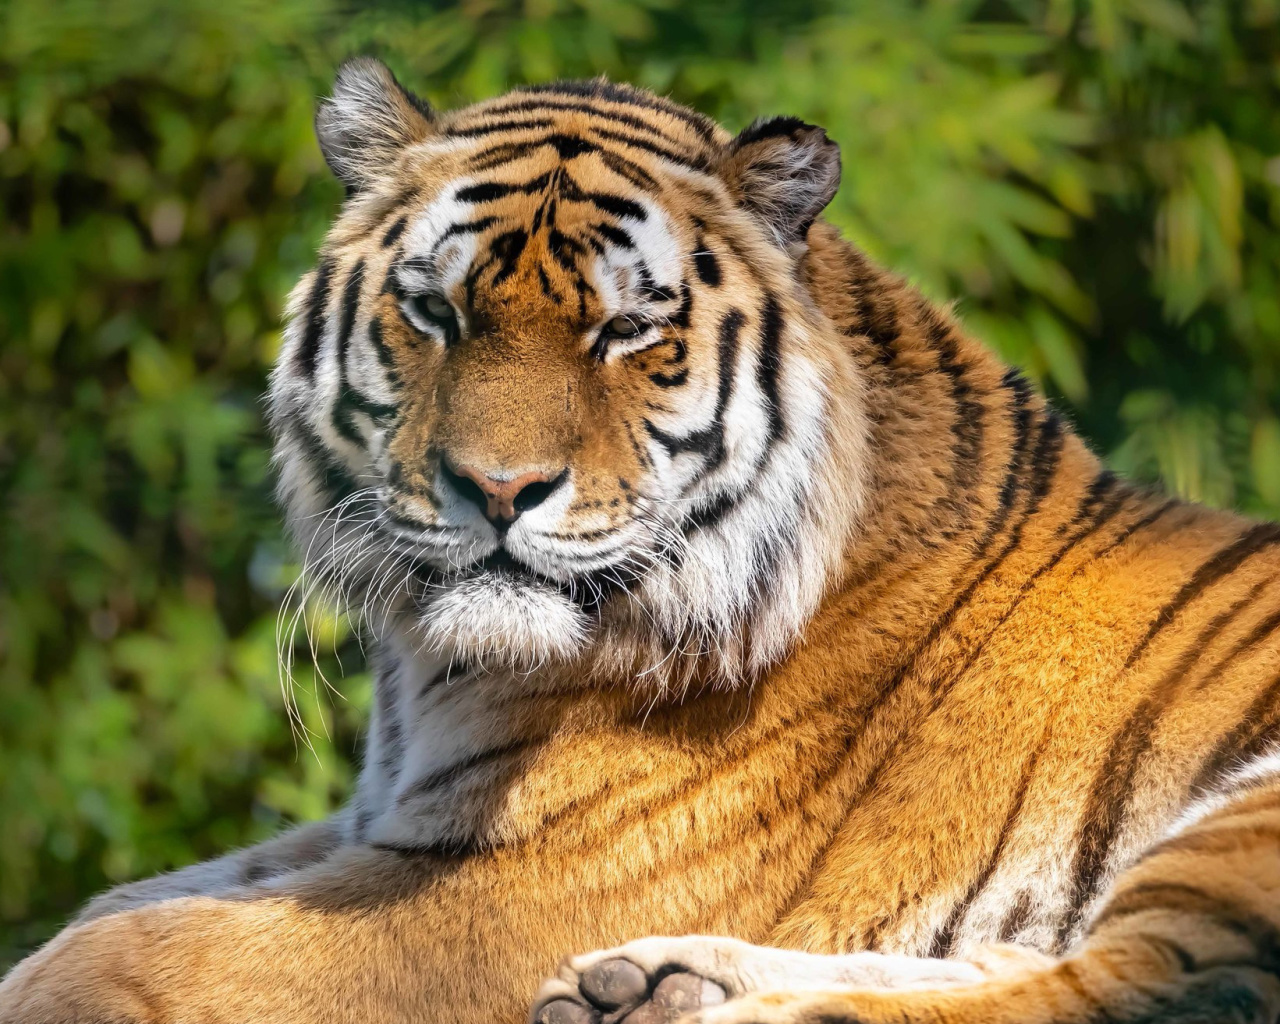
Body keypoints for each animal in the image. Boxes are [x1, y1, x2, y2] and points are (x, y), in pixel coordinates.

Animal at [2, 54, 1280, 1024]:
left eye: (625, 330)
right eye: (434, 310)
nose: (498, 488)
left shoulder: (503, 894)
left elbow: (115, 951)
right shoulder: (379, 826)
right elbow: (110, 906)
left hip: (1239, 820)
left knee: (1137, 987)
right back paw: (654, 983)